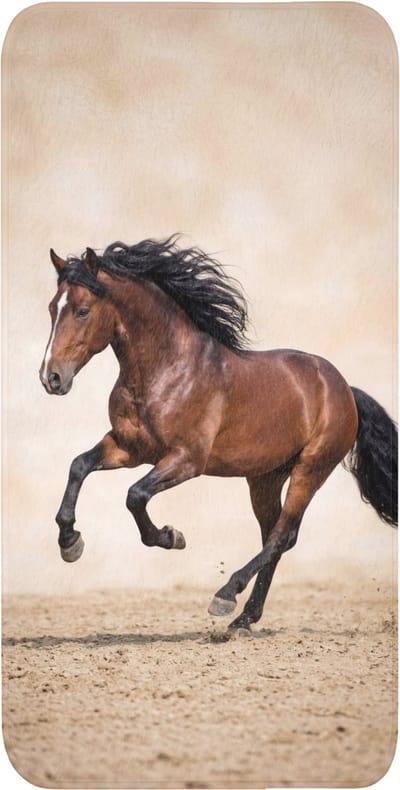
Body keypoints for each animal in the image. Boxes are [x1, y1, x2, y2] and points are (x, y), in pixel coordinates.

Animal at [39, 237, 397, 631]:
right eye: (52, 308)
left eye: (82, 310)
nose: (51, 378)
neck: (168, 369)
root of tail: (345, 389)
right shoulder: (129, 448)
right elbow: (79, 465)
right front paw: (70, 542)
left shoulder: (187, 460)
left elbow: (135, 495)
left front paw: (171, 537)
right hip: (265, 477)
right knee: (274, 536)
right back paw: (244, 618)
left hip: (311, 468)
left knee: (282, 535)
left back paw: (226, 596)